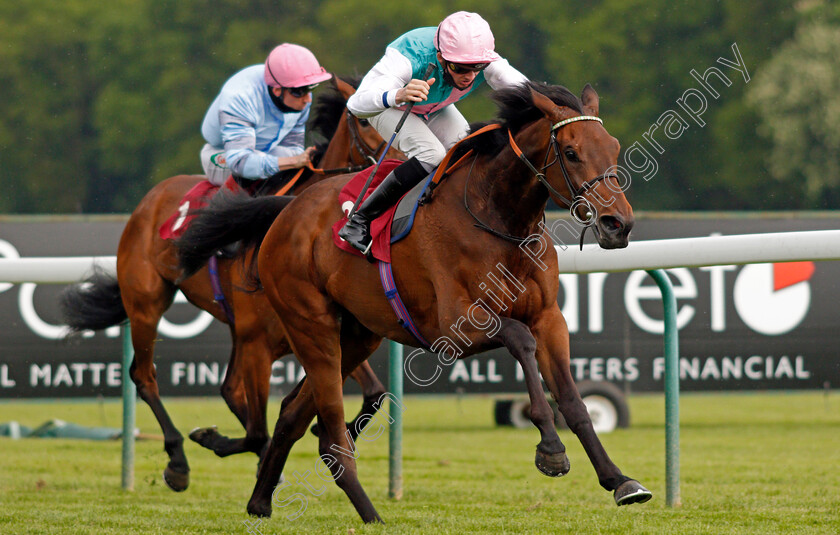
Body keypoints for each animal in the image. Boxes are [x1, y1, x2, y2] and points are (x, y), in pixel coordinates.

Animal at [57, 76, 402, 494]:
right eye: (367, 122)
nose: (401, 164)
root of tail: (149, 200)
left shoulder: (316, 331)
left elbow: (374, 393)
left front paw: (331, 432)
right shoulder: (263, 340)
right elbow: (258, 428)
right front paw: (215, 443)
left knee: (229, 390)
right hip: (147, 303)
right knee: (145, 375)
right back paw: (177, 460)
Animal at [176, 81, 648, 520]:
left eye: (613, 147)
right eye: (570, 152)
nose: (618, 224)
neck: (497, 216)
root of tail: (287, 210)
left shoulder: (549, 318)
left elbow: (573, 400)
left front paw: (620, 480)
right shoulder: (456, 325)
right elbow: (520, 340)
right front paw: (550, 448)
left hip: (356, 336)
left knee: (293, 413)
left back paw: (259, 501)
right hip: (311, 326)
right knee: (330, 428)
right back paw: (369, 514)